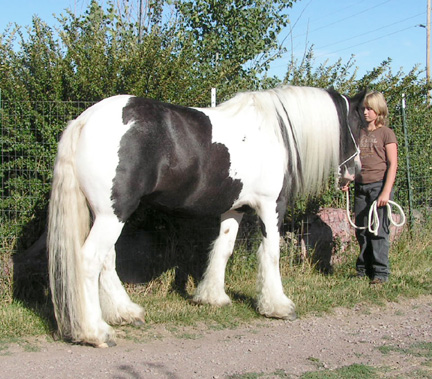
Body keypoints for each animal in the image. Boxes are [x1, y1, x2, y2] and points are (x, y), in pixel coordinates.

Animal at [46, 86, 364, 348]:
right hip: (113, 214)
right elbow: (270, 254)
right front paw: (278, 306)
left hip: (106, 214)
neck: (271, 133)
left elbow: (223, 249)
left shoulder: (234, 209)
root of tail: (84, 120)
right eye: (357, 124)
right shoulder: (271, 205)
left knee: (107, 260)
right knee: (89, 260)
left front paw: (212, 297)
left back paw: (125, 313)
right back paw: (96, 332)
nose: (355, 172)